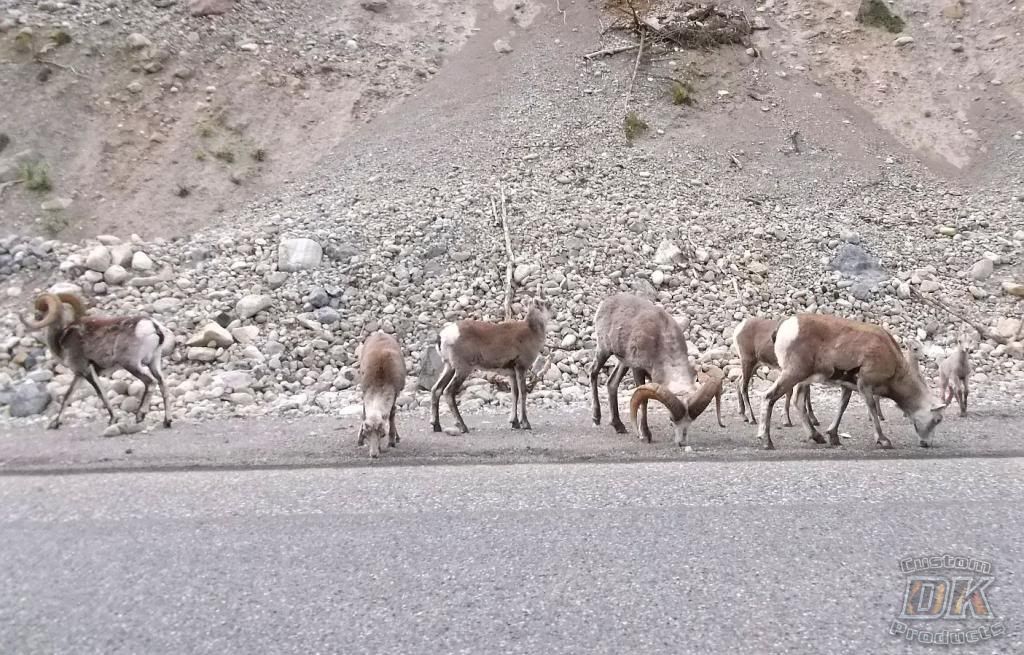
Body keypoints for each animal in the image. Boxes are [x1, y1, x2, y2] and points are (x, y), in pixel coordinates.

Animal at [22, 290, 173, 429]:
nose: (34, 318)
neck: (61, 339)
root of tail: (152, 326)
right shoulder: (79, 374)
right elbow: (67, 396)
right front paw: (56, 423)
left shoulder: (87, 371)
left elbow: (101, 394)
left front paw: (112, 420)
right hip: (153, 363)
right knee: (163, 385)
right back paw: (167, 421)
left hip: (132, 365)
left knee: (150, 383)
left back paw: (140, 415)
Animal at [356, 329, 407, 458]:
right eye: (366, 433)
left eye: (381, 433)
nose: (373, 454)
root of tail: (381, 332)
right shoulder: (364, 390)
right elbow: (363, 414)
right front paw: (360, 439)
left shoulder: (395, 392)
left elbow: (392, 414)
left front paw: (391, 441)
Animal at [430, 294, 552, 431]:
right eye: (548, 304)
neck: (531, 331)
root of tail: (443, 336)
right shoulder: (521, 368)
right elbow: (523, 393)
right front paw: (525, 424)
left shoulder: (511, 373)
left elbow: (514, 394)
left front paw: (514, 423)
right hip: (463, 369)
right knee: (448, 392)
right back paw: (463, 426)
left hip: (449, 367)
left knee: (436, 389)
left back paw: (436, 426)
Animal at [589, 292, 724, 450]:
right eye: (671, 420)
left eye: (691, 420)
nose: (682, 443)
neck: (661, 338)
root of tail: (606, 302)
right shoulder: (638, 369)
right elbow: (644, 402)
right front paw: (645, 435)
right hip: (604, 350)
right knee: (593, 372)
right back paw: (596, 418)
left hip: (623, 362)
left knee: (612, 383)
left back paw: (619, 426)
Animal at [757, 313, 946, 450]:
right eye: (937, 419)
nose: (927, 444)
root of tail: (784, 327)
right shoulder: (865, 385)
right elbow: (872, 409)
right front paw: (883, 441)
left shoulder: (847, 387)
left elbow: (842, 407)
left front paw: (833, 437)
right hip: (794, 373)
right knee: (769, 397)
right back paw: (766, 441)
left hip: (802, 379)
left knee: (798, 402)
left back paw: (817, 437)